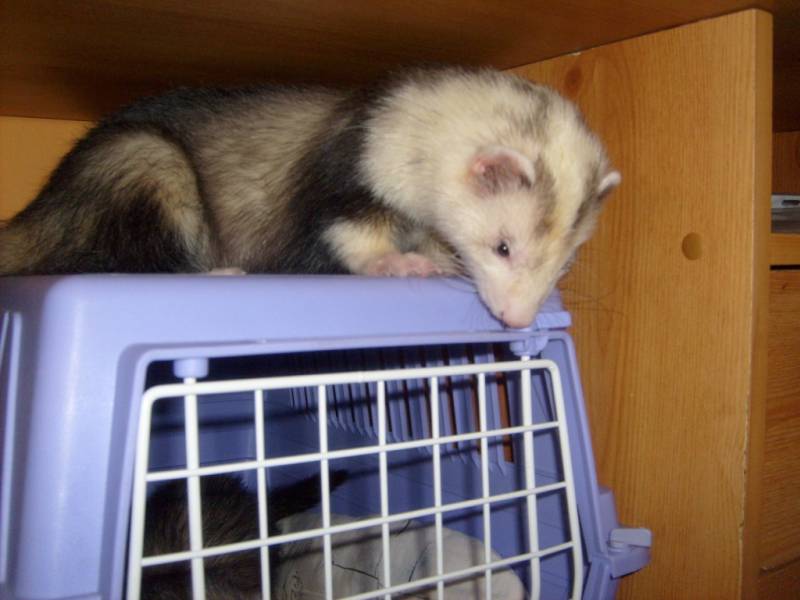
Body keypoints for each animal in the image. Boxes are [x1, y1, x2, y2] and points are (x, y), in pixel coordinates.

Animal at [0, 67, 619, 328]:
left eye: (565, 262)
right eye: (503, 246)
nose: (518, 319)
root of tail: (37, 211)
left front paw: (436, 257)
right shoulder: (344, 182)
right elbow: (348, 236)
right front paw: (397, 263)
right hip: (147, 163)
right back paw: (217, 272)